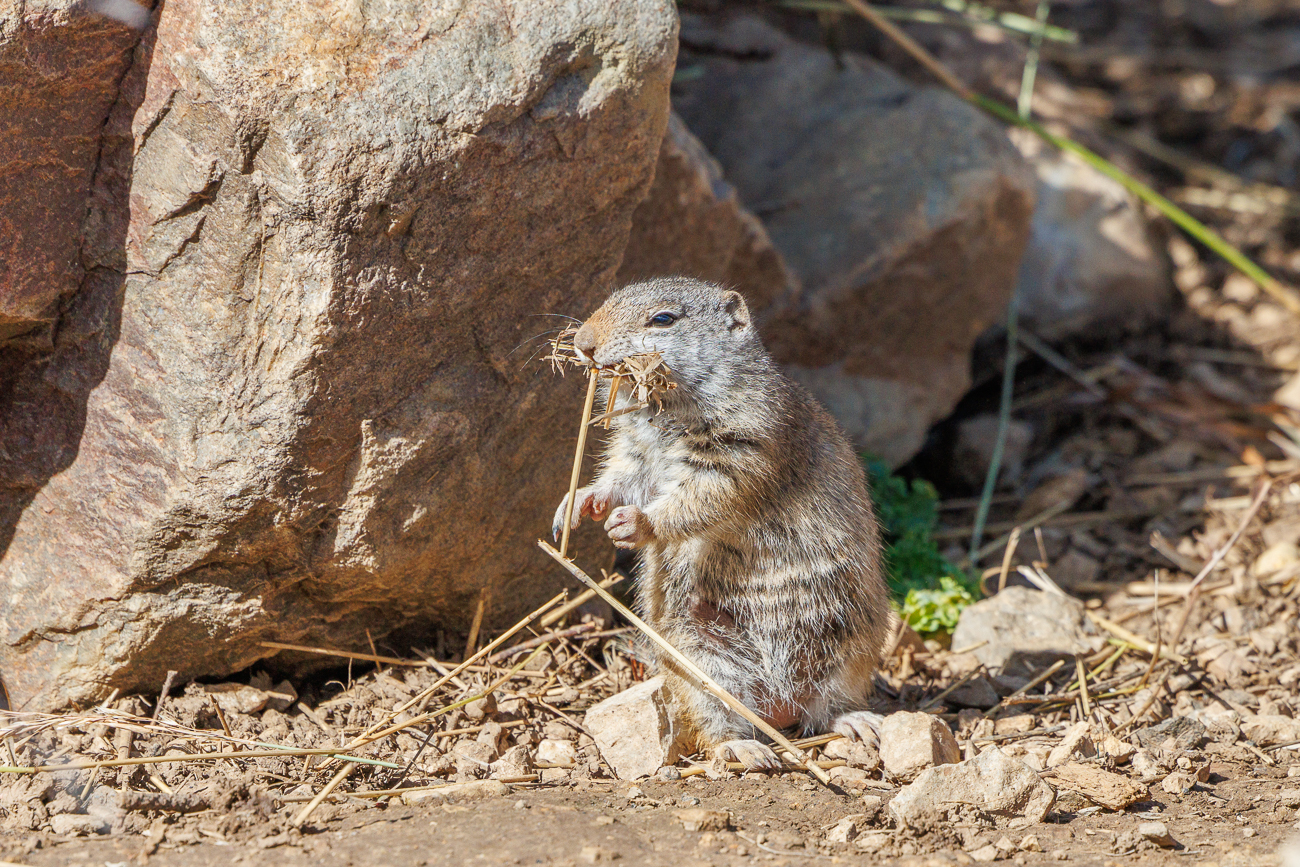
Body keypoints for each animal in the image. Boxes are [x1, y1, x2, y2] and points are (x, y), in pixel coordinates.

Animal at [548, 276, 894, 764]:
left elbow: (700, 499)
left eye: (663, 319)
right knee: (719, 725)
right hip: (698, 662)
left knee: (829, 710)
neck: (663, 412)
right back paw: (746, 748)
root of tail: (779, 708)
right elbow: (619, 478)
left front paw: (633, 524)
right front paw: (576, 505)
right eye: (608, 300)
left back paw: (856, 725)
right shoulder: (634, 454)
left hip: (852, 647)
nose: (583, 343)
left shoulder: (740, 448)